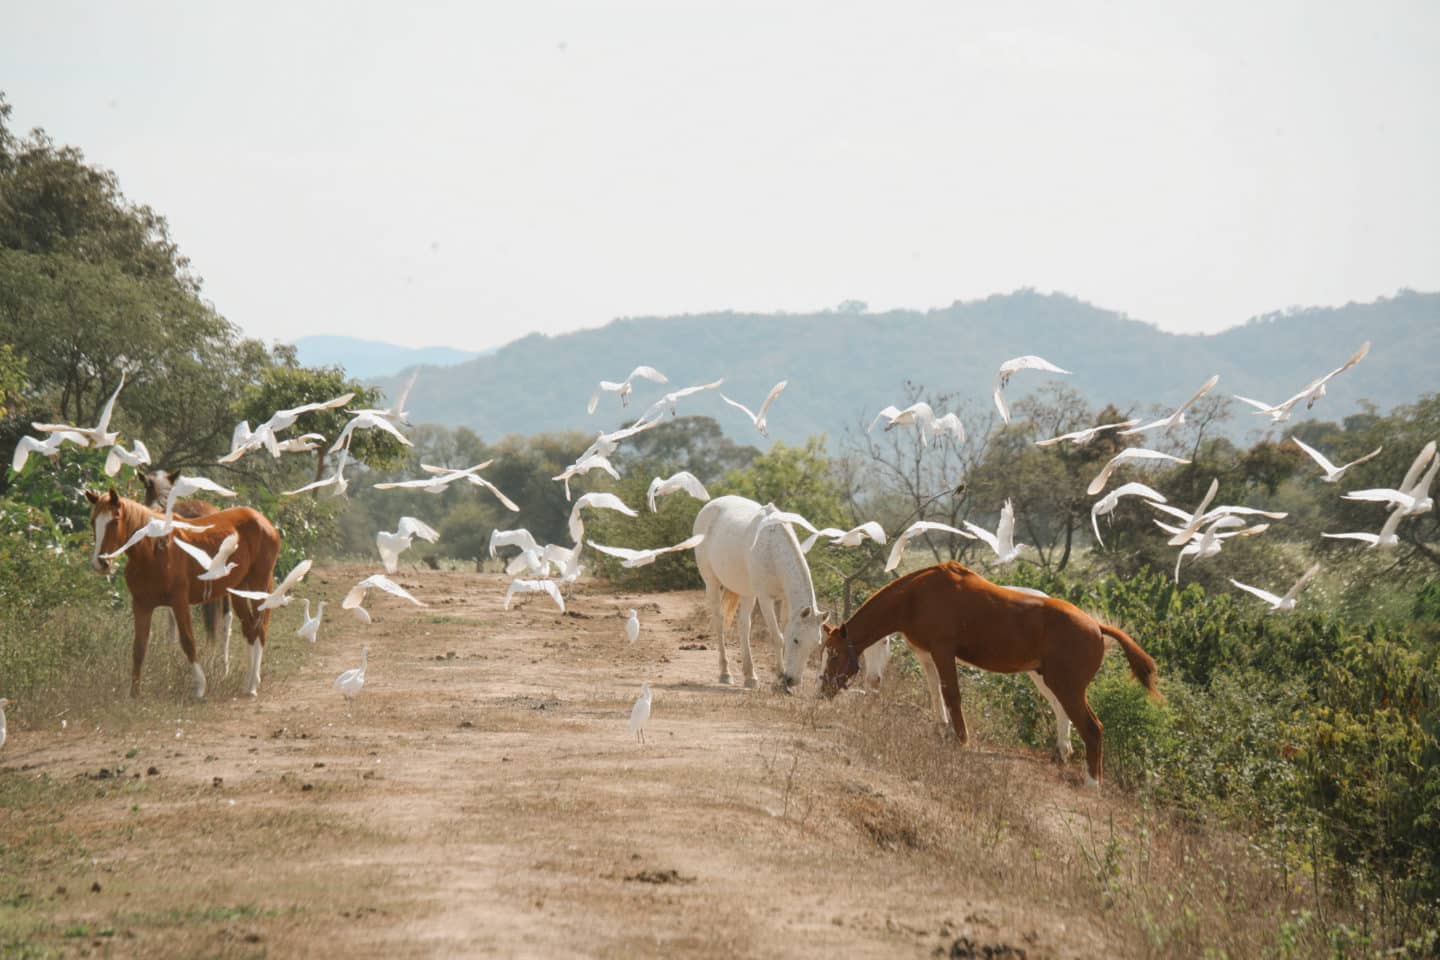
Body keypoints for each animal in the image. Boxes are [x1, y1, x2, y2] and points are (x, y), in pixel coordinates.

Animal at [692, 495, 828, 690]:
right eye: (796, 640)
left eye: (815, 644)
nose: (793, 680)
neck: (771, 547)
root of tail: (708, 506)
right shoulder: (764, 599)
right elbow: (777, 636)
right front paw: (780, 679)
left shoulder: (785, 599)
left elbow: (783, 627)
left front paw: (781, 679)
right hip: (712, 583)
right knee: (719, 621)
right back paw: (725, 673)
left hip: (746, 592)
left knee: (743, 625)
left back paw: (750, 676)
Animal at [819, 561, 1160, 788]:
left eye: (834, 654)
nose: (823, 690)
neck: (915, 596)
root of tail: (1097, 626)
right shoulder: (926, 655)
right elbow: (936, 694)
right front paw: (941, 729)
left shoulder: (943, 652)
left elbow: (952, 694)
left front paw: (961, 739)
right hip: (1052, 681)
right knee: (1065, 714)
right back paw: (1064, 754)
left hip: (1068, 686)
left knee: (1093, 728)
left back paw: (1092, 782)